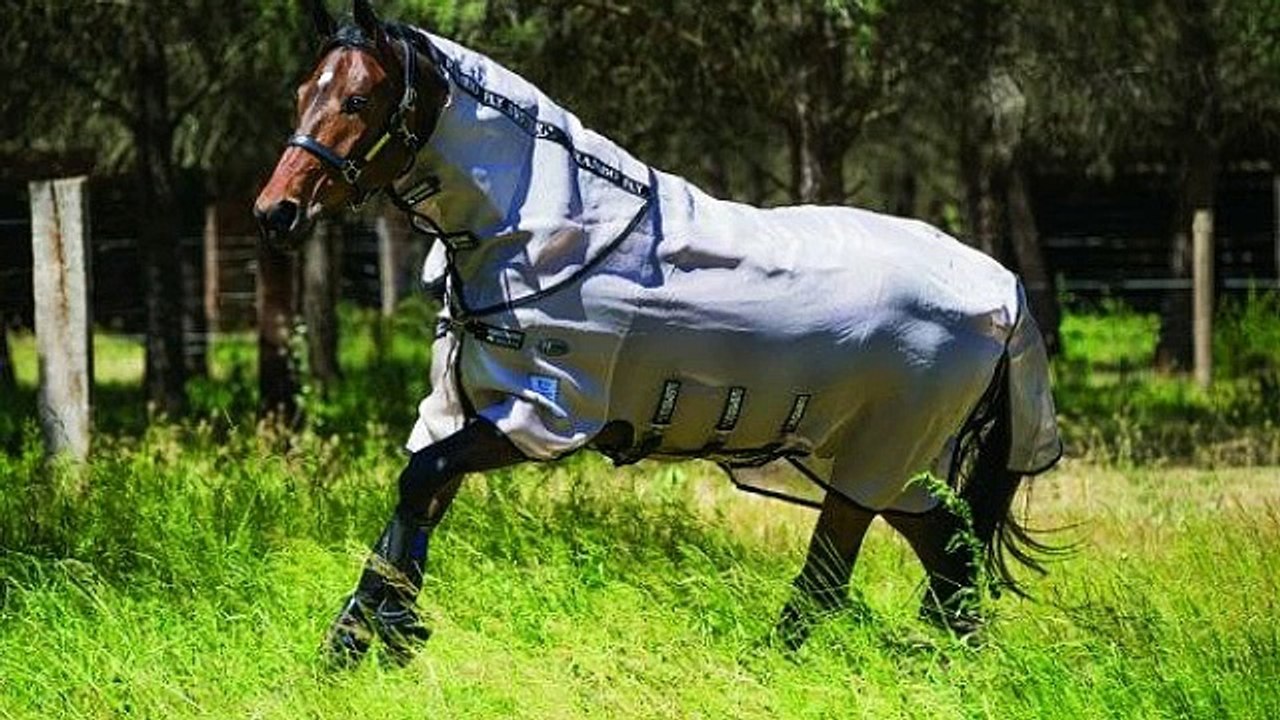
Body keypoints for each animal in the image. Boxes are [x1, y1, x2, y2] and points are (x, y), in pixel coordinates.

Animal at [255, 0, 1064, 666]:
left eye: (358, 98)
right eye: (301, 93)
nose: (276, 213)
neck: (553, 232)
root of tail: (1000, 289)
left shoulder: (542, 416)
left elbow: (420, 480)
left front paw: (381, 637)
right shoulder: (461, 407)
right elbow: (418, 495)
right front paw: (359, 643)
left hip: (876, 461)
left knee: (840, 578)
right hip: (896, 471)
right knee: (949, 562)